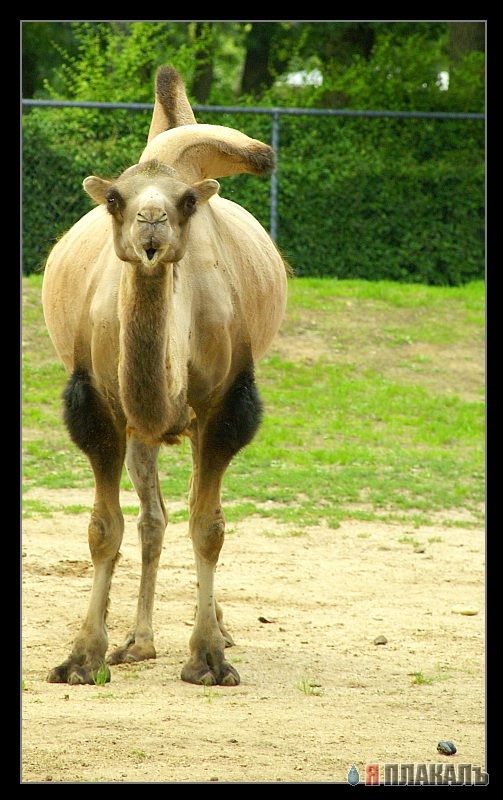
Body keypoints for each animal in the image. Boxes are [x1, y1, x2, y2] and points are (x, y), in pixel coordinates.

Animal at [41, 65, 290, 684]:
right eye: (115, 198)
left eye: (185, 200)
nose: (151, 223)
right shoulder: (100, 409)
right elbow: (104, 529)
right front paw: (83, 657)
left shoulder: (224, 408)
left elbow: (211, 527)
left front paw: (209, 658)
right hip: (138, 430)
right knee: (152, 518)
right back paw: (137, 641)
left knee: (192, 508)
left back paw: (208, 628)